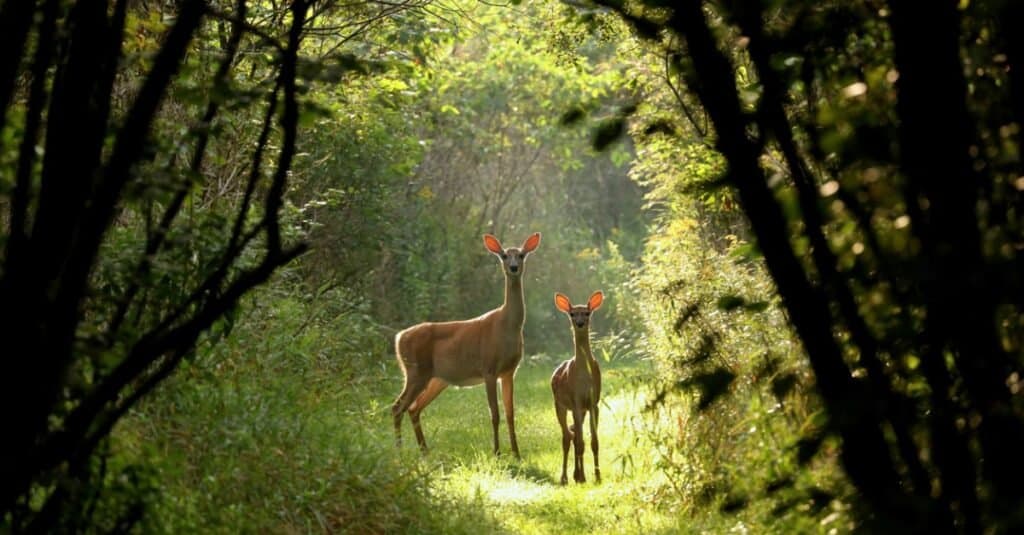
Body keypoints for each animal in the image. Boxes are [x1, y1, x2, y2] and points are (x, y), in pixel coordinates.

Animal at [389, 230, 544, 455]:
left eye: (522, 255)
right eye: (504, 255)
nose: (514, 267)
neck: (508, 326)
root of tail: (399, 337)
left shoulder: (509, 372)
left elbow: (510, 414)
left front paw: (516, 454)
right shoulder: (489, 368)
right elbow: (494, 414)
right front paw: (497, 453)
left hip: (436, 379)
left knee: (413, 408)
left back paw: (424, 452)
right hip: (416, 371)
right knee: (397, 407)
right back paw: (400, 452)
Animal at [548, 291, 602, 483]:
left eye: (587, 312)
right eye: (572, 314)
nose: (579, 323)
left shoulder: (593, 403)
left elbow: (594, 442)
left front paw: (598, 476)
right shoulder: (577, 401)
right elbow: (580, 442)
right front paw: (584, 477)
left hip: (579, 409)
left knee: (573, 434)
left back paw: (576, 474)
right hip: (559, 404)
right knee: (567, 436)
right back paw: (565, 477)